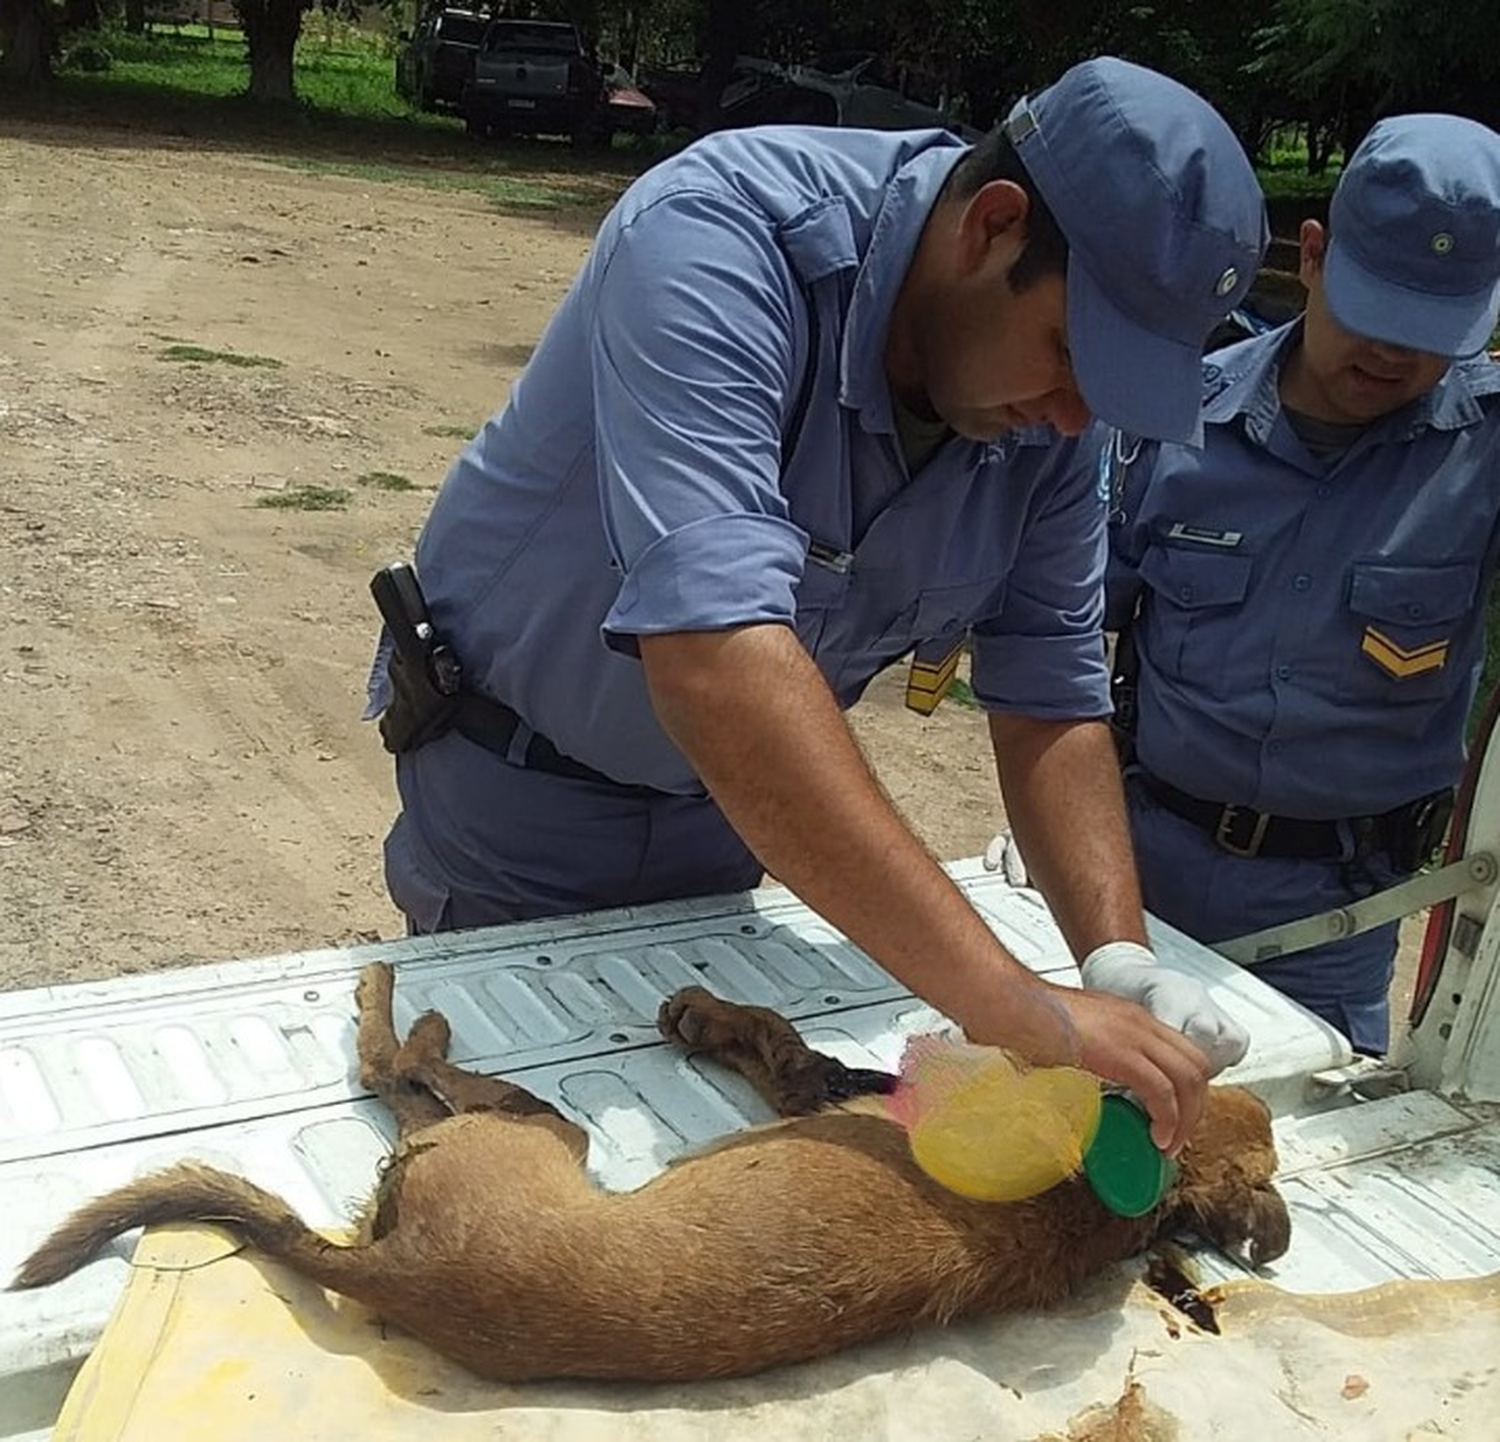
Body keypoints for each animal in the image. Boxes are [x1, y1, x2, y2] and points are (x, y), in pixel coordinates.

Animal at [8, 960, 1290, 1380]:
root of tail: (404, 1275)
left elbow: (775, 1034)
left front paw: (704, 1014)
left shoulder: (816, 1086)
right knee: (402, 1086)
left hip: (535, 1136)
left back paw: (405, 1006)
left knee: (401, 1069)